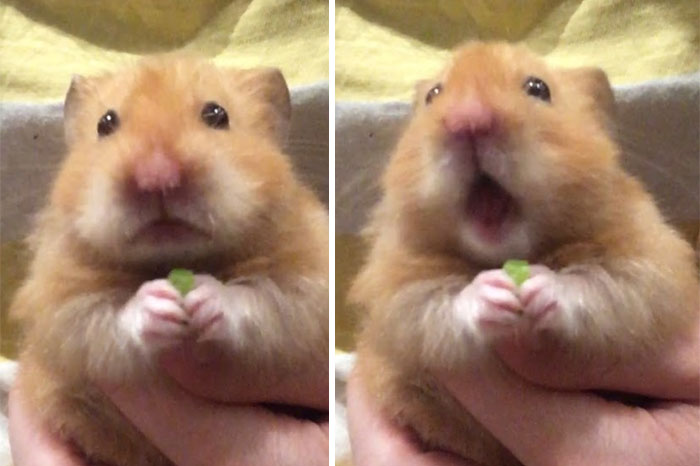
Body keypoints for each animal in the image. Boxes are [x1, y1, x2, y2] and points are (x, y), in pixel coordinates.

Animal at [10, 55, 328, 466]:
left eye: (217, 114)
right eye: (105, 123)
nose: (157, 176)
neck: (169, 258)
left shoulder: (307, 289)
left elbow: (262, 299)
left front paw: (204, 298)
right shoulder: (58, 306)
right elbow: (105, 319)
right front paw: (158, 304)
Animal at [351, 42, 699, 465]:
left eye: (538, 88)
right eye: (434, 95)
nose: (469, 121)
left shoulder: (650, 265)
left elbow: (599, 285)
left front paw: (537, 284)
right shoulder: (393, 291)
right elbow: (434, 302)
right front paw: (493, 292)